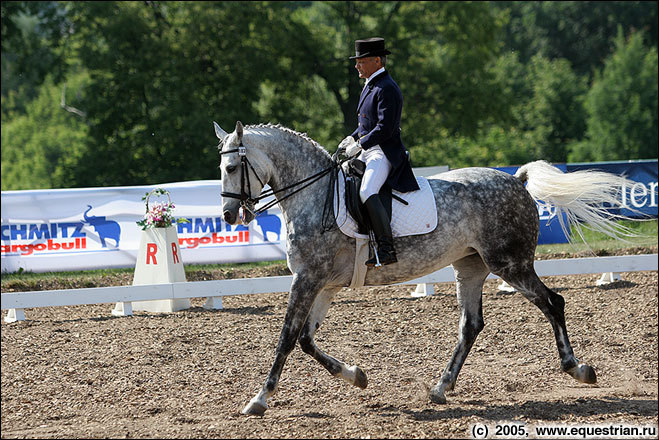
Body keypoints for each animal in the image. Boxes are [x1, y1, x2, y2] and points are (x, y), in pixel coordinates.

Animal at [215, 120, 640, 416]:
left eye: (233, 166)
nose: (229, 215)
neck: (314, 195)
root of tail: (517, 181)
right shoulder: (324, 284)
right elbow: (306, 340)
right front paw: (356, 376)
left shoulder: (307, 279)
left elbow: (287, 338)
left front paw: (259, 399)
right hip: (470, 266)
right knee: (471, 325)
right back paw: (441, 387)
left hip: (510, 264)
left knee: (553, 303)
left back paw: (578, 369)